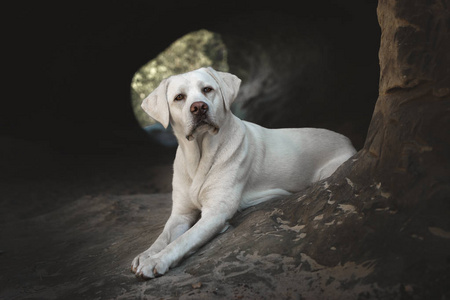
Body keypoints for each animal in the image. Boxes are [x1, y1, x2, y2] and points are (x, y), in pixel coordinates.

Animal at [130, 68, 356, 278]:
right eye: (179, 97)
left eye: (207, 90)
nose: (200, 107)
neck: (200, 156)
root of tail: (347, 139)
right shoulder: (180, 213)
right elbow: (163, 236)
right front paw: (146, 254)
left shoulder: (216, 212)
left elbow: (182, 241)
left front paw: (156, 261)